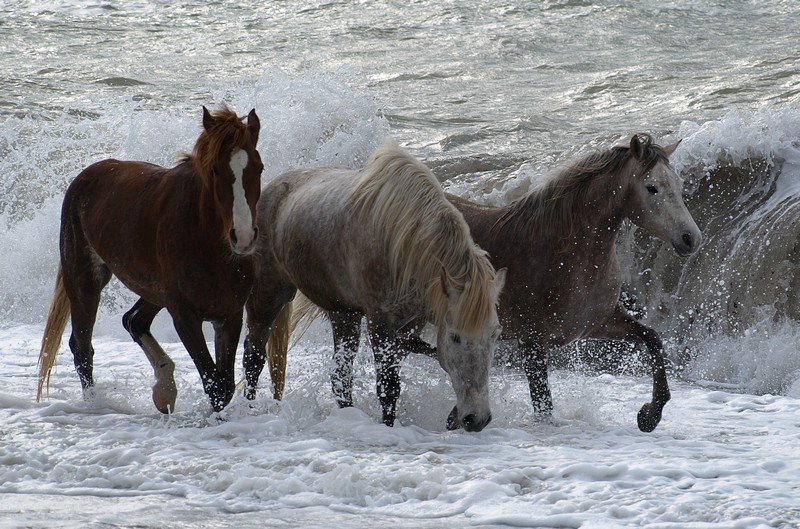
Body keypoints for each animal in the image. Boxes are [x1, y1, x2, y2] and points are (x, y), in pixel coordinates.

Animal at [36, 106, 262, 412]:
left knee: (133, 320)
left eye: (259, 168)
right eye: (215, 170)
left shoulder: (230, 315)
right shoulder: (184, 316)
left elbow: (223, 386)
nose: (244, 237)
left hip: (155, 292)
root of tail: (86, 176)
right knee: (82, 346)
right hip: (85, 281)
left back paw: (164, 388)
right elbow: (214, 384)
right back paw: (97, 404)